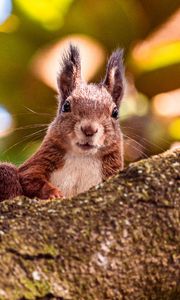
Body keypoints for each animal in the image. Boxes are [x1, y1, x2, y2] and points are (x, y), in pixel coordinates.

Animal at [0, 44, 125, 202]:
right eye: (66, 106)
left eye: (115, 113)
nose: (89, 129)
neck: (82, 158)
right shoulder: (38, 163)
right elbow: (31, 178)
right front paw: (54, 193)